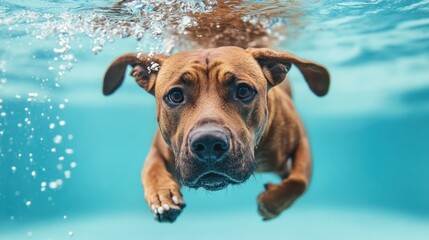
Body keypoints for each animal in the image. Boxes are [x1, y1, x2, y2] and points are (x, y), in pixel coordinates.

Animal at [102, 46, 330, 222]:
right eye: (175, 95)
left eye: (243, 91)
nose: (209, 144)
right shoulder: (159, 148)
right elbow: (152, 170)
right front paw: (161, 197)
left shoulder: (300, 140)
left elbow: (299, 180)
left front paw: (270, 203)